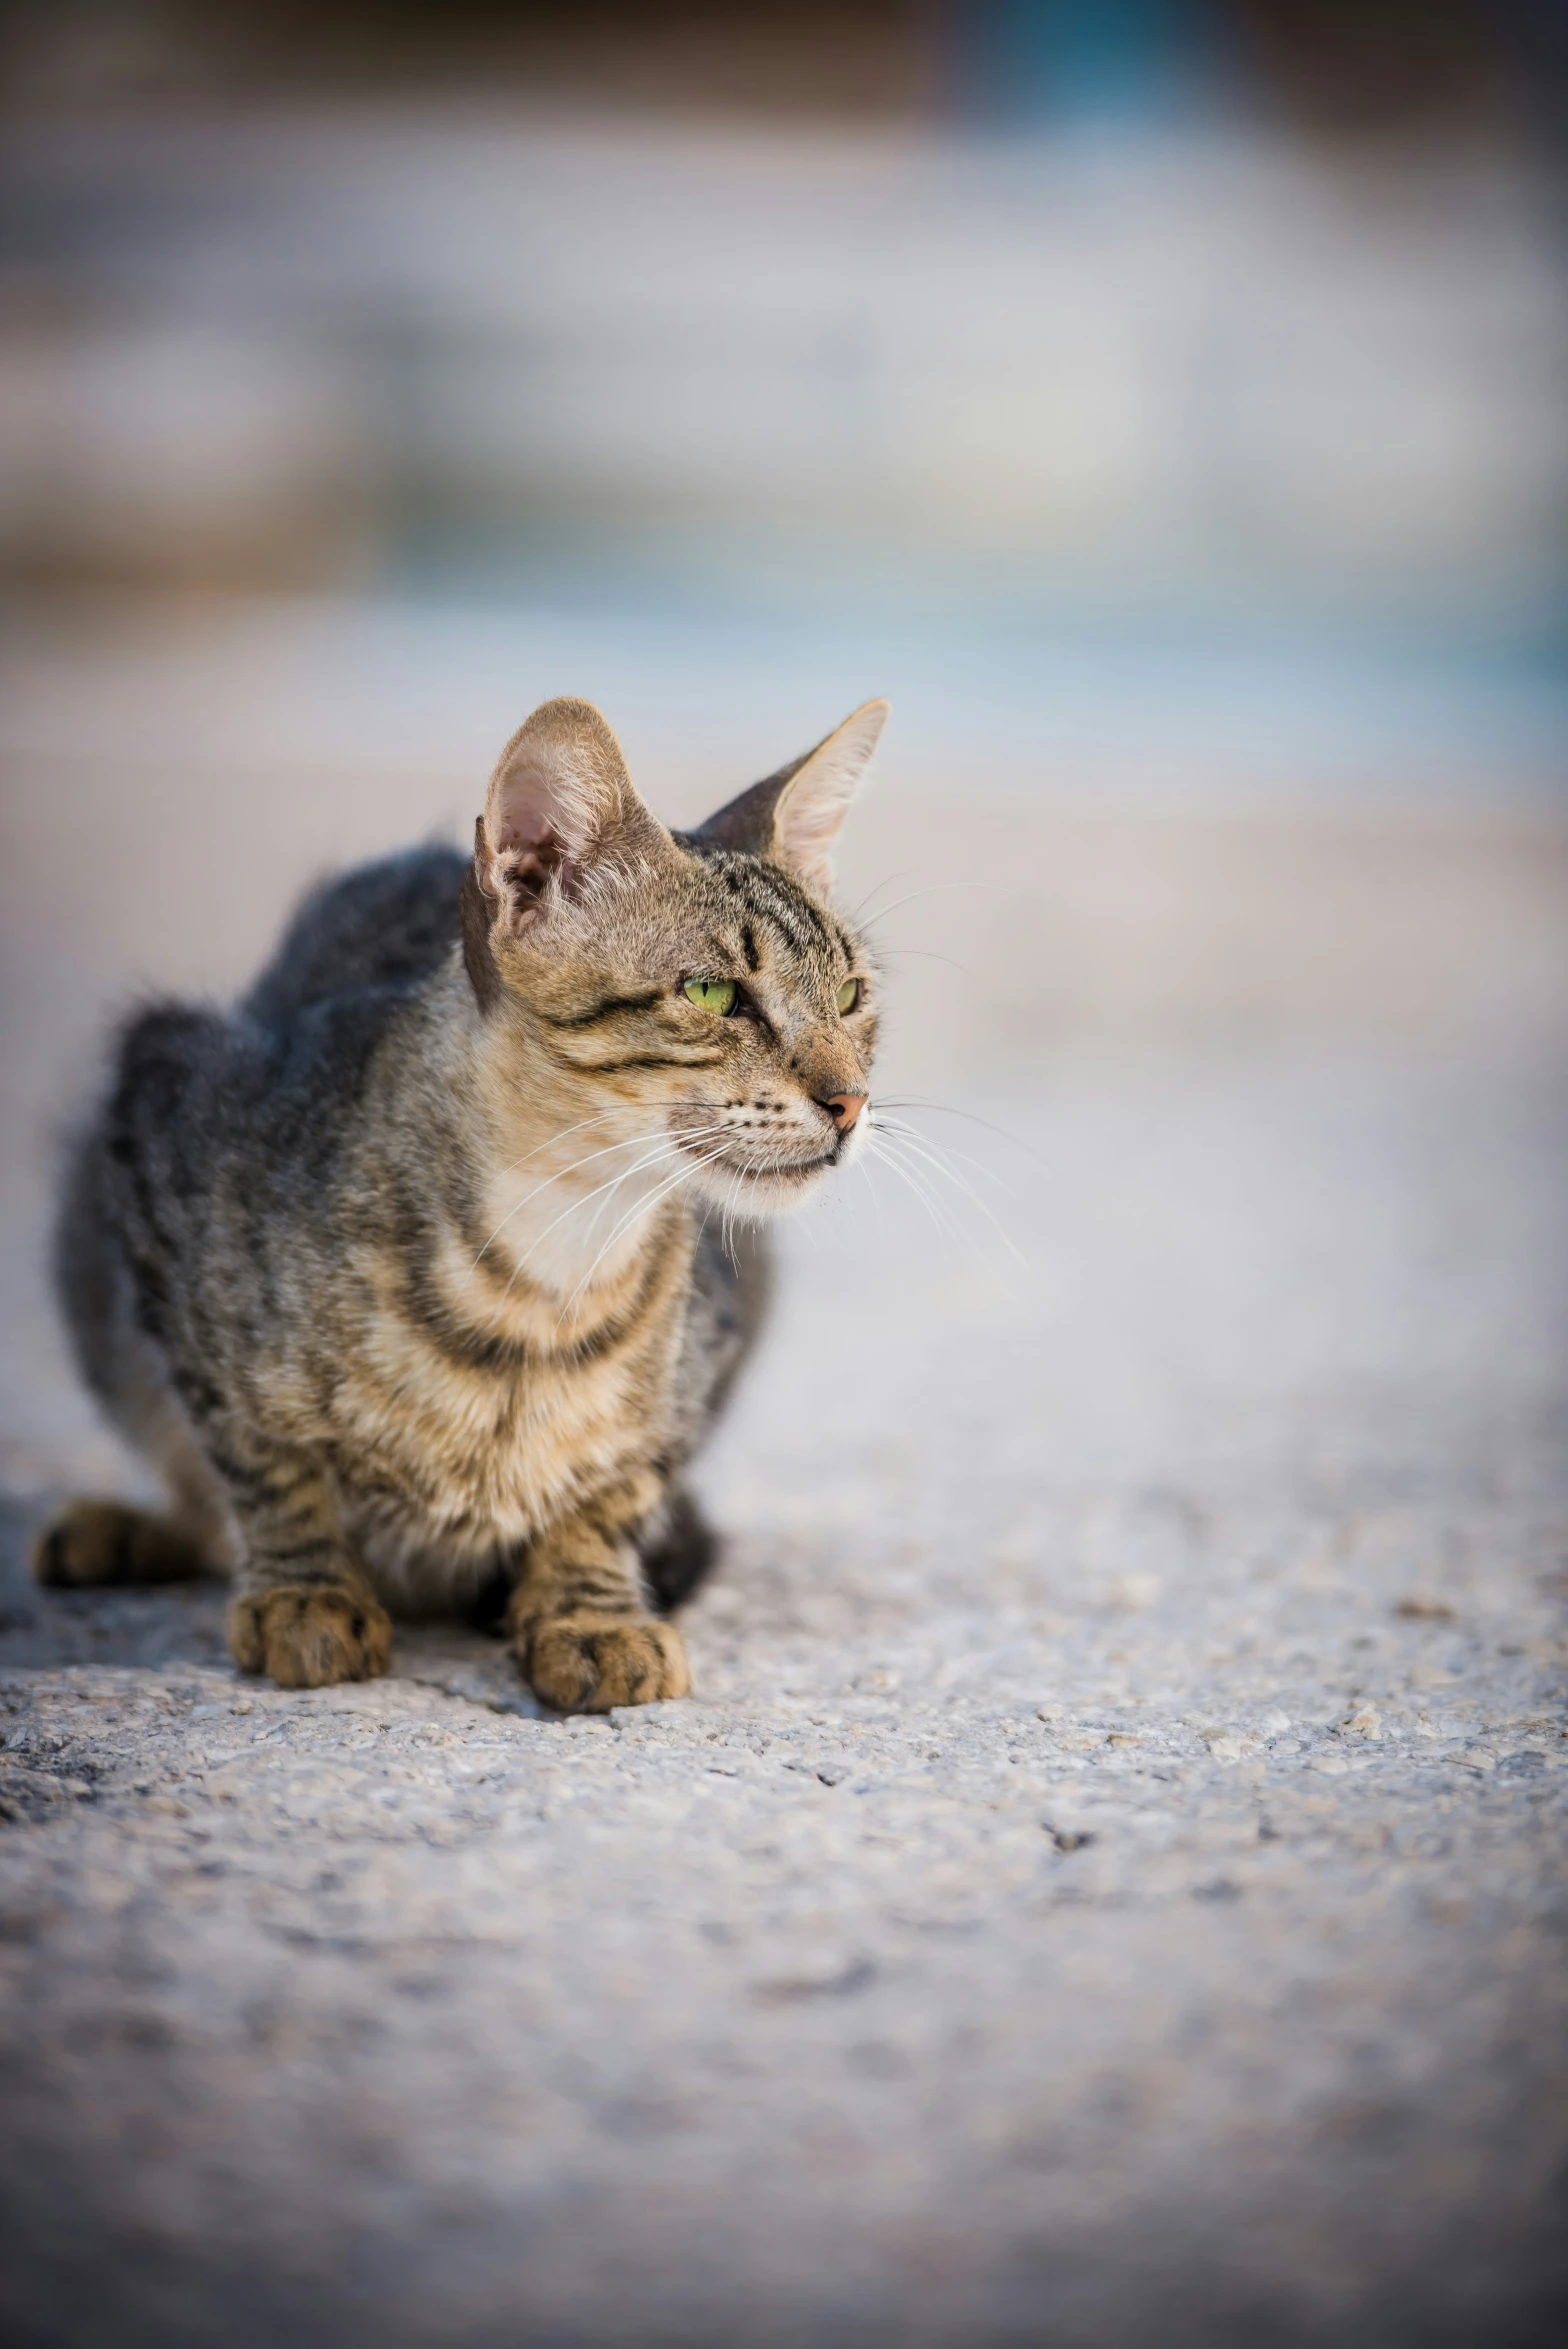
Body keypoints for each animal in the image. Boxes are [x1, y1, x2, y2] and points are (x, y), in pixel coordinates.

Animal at [30, 695, 887, 1710]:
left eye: (851, 995)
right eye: (715, 992)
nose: (850, 1100)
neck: (559, 1254)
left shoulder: (715, 1327)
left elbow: (625, 1478)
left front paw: (588, 1605)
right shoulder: (162, 1115)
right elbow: (256, 1449)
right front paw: (305, 1590)